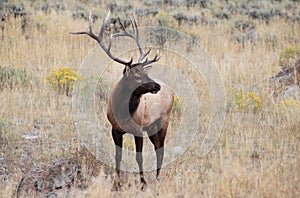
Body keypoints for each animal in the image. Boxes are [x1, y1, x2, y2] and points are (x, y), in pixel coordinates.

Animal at [71, 11, 173, 189]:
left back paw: (158, 177)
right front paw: (116, 183)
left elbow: (139, 157)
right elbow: (117, 156)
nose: (157, 86)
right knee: (158, 147)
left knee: (160, 148)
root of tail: (172, 91)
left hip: (163, 121)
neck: (123, 113)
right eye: (137, 76)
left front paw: (143, 182)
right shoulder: (115, 129)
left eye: (145, 73)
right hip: (151, 127)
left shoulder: (138, 129)